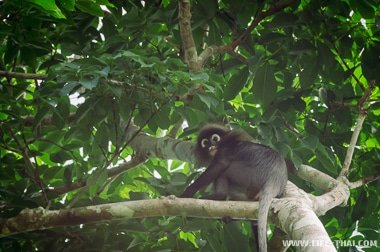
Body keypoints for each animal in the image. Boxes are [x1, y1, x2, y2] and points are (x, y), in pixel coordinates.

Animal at [181, 124, 288, 252]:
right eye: (205, 143)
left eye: (215, 138)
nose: (211, 146)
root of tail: (275, 178)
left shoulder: (224, 150)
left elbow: (220, 165)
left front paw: (186, 194)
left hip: (246, 173)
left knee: (222, 174)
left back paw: (218, 197)